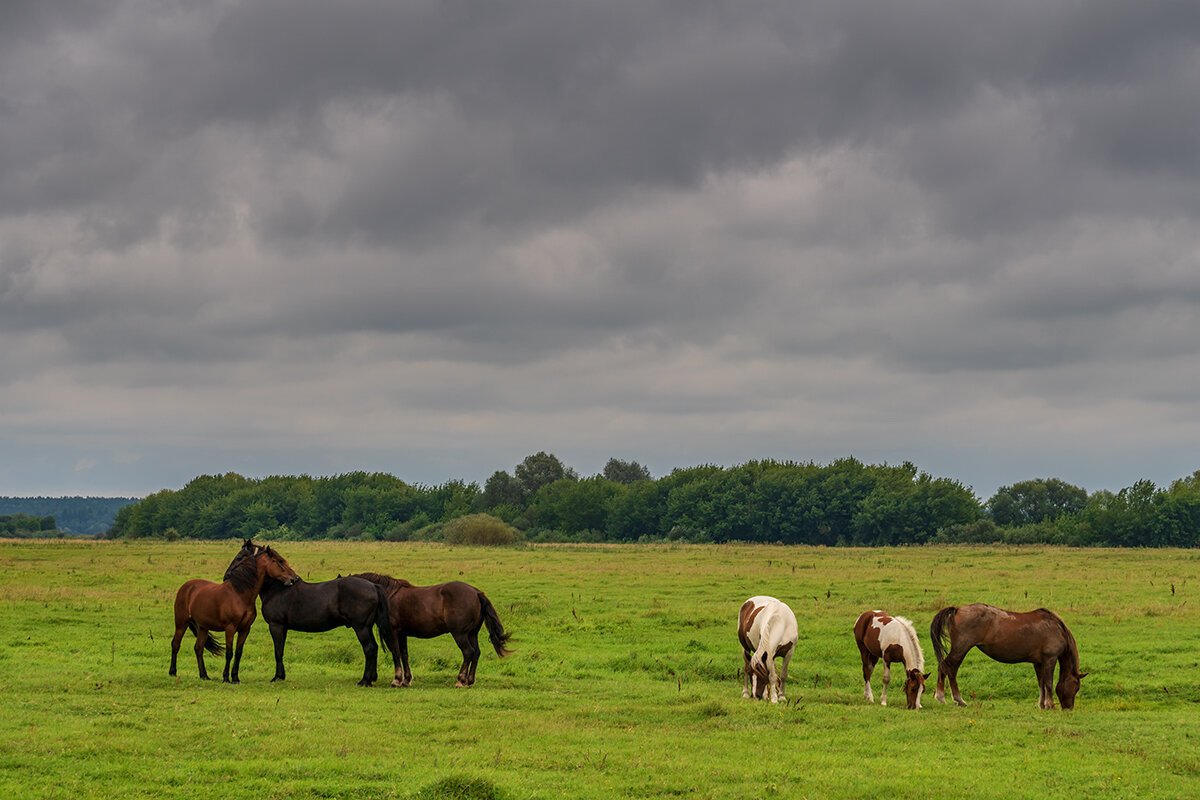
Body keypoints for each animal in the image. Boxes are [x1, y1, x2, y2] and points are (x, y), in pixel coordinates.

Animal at [169, 544, 300, 681]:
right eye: (279, 561)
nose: (294, 578)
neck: (239, 595)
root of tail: (186, 587)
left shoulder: (245, 629)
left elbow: (238, 653)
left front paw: (235, 678)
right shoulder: (230, 628)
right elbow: (229, 653)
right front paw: (226, 678)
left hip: (202, 627)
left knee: (198, 648)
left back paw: (204, 675)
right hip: (181, 623)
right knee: (176, 644)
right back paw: (173, 672)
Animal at [223, 542, 396, 686]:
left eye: (239, 557)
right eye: (281, 562)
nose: (226, 576)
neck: (277, 589)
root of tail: (373, 586)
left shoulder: (276, 625)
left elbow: (277, 651)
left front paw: (276, 677)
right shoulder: (283, 628)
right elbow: (281, 650)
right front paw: (282, 676)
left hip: (361, 628)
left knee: (369, 649)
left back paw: (364, 680)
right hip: (367, 627)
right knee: (374, 648)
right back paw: (371, 678)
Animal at [350, 568, 511, 690]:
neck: (387, 595)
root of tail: (476, 593)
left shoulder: (393, 632)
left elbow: (395, 654)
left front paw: (397, 680)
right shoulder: (402, 634)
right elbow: (404, 655)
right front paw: (406, 680)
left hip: (460, 634)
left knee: (468, 652)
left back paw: (461, 680)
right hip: (472, 633)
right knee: (476, 653)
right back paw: (469, 680)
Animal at [926, 604, 1089, 710]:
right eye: (1076, 686)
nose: (1068, 708)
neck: (1057, 629)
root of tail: (958, 609)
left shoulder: (1038, 663)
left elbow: (1041, 683)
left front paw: (1042, 705)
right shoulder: (1050, 659)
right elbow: (1048, 683)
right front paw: (1050, 705)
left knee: (947, 668)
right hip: (960, 649)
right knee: (948, 668)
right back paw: (950, 698)